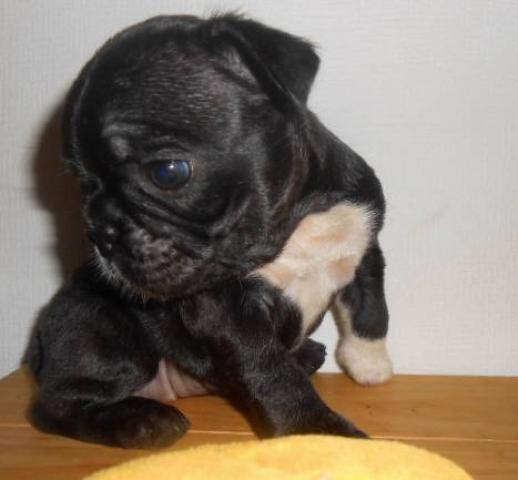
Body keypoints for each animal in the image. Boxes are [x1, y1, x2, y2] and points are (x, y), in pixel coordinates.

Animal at [25, 14, 392, 448]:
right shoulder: (226, 310)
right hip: (103, 333)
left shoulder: (366, 242)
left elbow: (370, 307)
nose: (102, 233)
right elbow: (270, 371)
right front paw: (317, 431)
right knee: (56, 404)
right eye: (83, 184)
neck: (294, 225)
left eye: (168, 172)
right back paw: (141, 421)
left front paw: (368, 363)